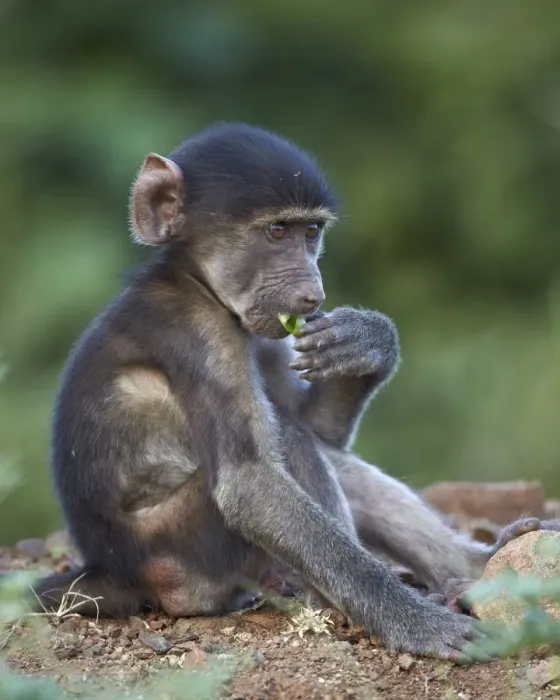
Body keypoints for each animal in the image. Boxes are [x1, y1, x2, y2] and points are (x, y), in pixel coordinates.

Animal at [32, 122, 558, 662]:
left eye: (311, 233)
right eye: (276, 231)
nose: (313, 294)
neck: (193, 282)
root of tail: (111, 570)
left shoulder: (267, 330)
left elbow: (321, 427)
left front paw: (368, 341)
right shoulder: (199, 336)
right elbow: (249, 485)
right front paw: (419, 624)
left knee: (313, 442)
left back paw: (479, 568)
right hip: (183, 553)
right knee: (289, 440)